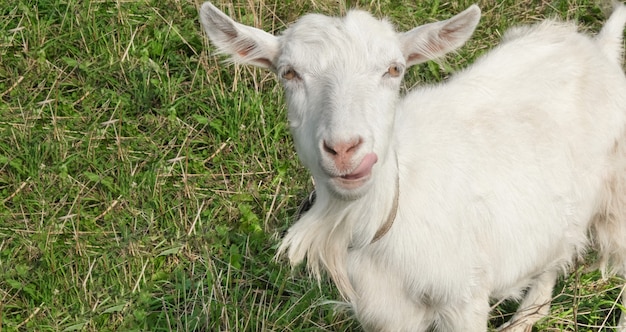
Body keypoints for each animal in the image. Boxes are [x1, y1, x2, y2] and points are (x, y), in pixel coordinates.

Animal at [199, 2, 624, 332]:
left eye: (394, 69)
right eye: (288, 73)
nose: (345, 148)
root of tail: (599, 48)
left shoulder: (463, 299)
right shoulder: (384, 311)